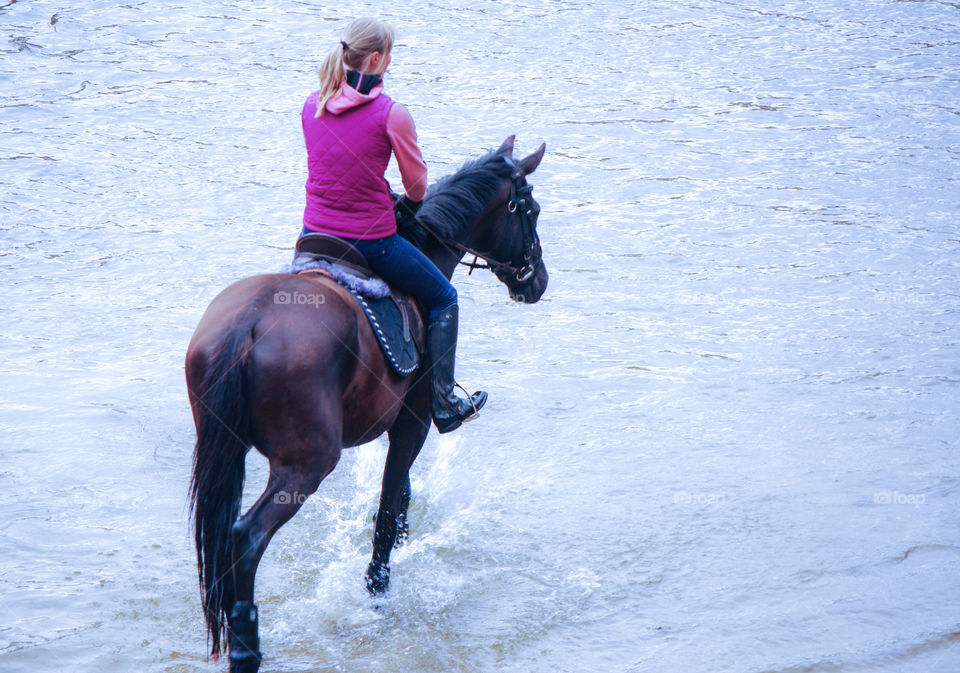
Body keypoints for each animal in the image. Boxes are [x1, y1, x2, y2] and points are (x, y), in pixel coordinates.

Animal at [188, 136, 548, 672]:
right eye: (533, 211)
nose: (537, 280)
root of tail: (246, 325)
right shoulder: (413, 422)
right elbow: (386, 510)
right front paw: (378, 592)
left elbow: (398, 499)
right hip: (306, 464)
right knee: (246, 538)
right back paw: (248, 646)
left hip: (225, 452)